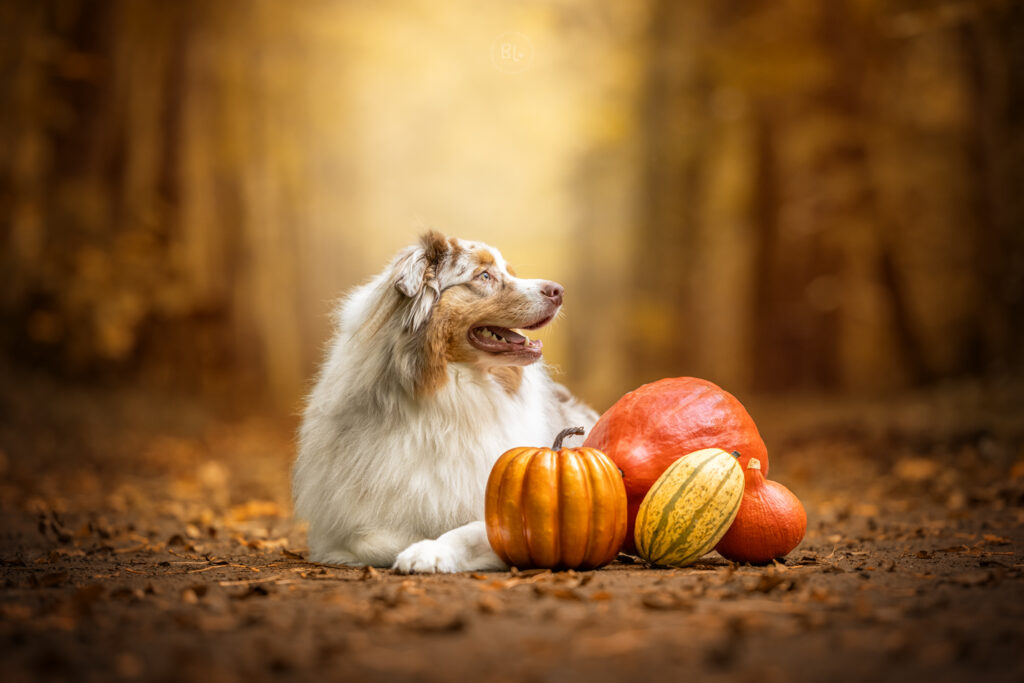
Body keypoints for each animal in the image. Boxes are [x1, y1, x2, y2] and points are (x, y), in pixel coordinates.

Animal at [292, 229, 598, 573]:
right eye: (484, 275)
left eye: (509, 272)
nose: (559, 291)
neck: (450, 398)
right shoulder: (339, 529)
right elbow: (373, 539)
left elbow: (471, 530)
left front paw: (430, 551)